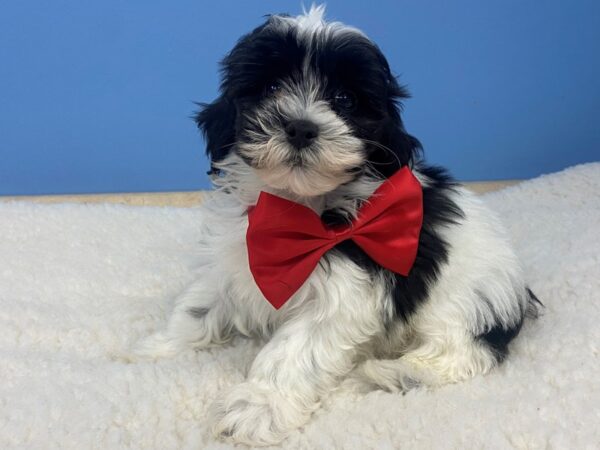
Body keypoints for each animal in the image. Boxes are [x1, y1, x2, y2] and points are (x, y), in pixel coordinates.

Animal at [130, 5, 540, 444]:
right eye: (271, 87)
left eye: (344, 99)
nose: (301, 126)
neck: (293, 208)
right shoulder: (233, 256)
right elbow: (200, 305)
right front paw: (153, 349)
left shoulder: (343, 293)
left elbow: (292, 352)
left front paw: (257, 407)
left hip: (465, 299)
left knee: (466, 353)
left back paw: (394, 373)